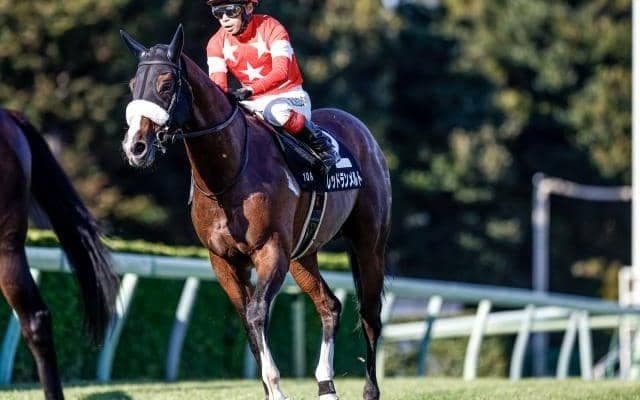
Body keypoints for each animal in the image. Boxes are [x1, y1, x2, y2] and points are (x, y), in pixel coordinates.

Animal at [120, 25, 391, 400]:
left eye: (165, 84)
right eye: (133, 85)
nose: (135, 147)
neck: (228, 173)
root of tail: (362, 131)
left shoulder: (270, 249)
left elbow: (257, 312)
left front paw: (276, 387)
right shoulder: (222, 259)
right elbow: (246, 321)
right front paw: (268, 386)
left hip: (369, 243)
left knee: (369, 313)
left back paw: (369, 389)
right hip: (302, 255)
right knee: (329, 304)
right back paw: (325, 385)